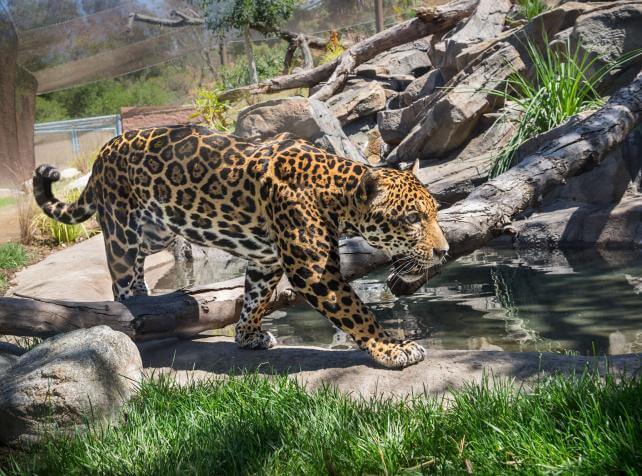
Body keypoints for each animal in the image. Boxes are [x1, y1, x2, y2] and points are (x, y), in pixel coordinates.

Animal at [33, 124, 449, 369]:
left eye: (434, 212)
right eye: (413, 219)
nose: (443, 251)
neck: (335, 192)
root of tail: (103, 152)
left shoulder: (266, 261)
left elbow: (254, 297)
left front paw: (248, 335)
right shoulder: (315, 271)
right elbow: (358, 312)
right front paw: (392, 348)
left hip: (158, 230)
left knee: (138, 262)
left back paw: (145, 295)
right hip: (122, 229)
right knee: (119, 274)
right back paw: (134, 308)